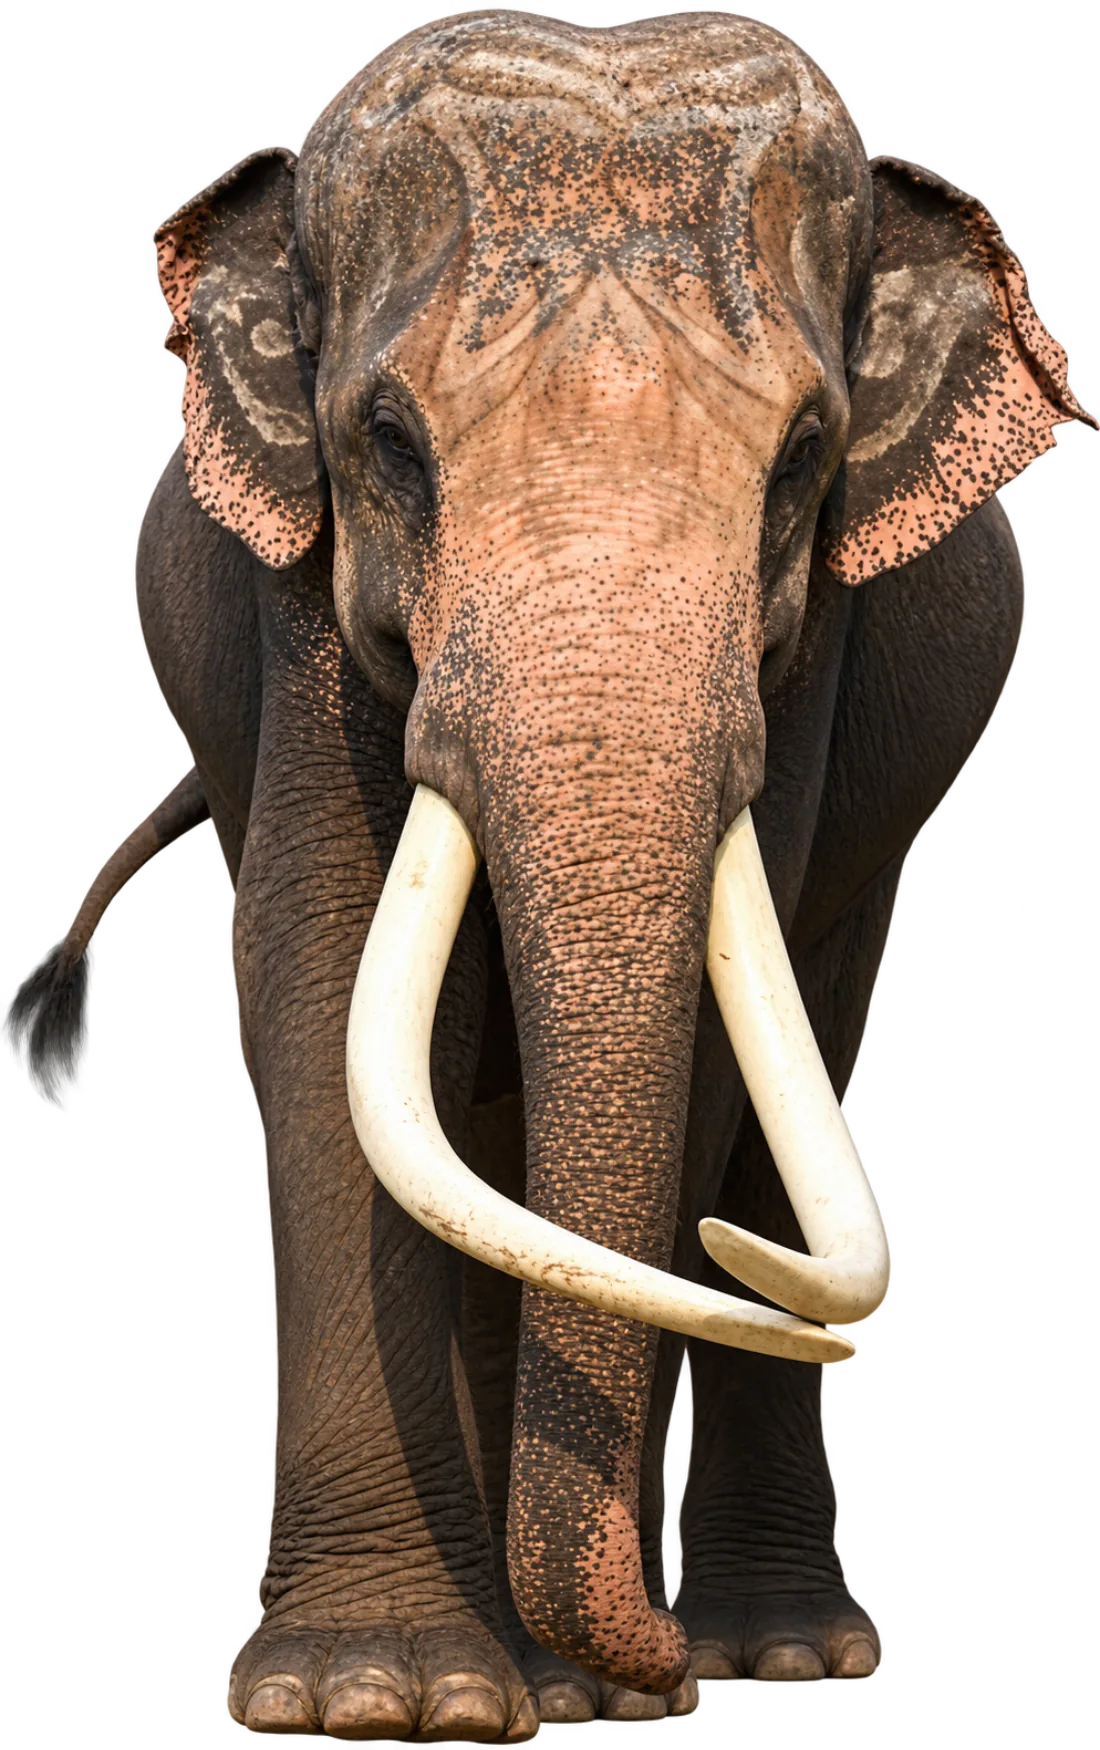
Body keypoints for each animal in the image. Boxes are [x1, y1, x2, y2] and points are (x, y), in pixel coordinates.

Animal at [4, 3, 1094, 1735]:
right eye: (387, 442)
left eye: (807, 453)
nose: (628, 1661)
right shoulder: (305, 602)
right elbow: (321, 971)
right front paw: (378, 1699)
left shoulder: (815, 650)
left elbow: (719, 1022)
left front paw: (607, 1694)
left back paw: (774, 1654)